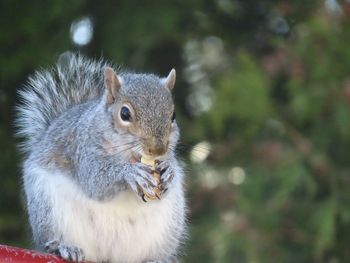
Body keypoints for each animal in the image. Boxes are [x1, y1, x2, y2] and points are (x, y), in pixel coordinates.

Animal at [17, 52, 186, 262]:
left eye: (173, 116)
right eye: (124, 113)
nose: (157, 150)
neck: (126, 154)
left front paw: (169, 170)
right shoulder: (82, 148)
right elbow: (95, 181)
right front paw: (131, 173)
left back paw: (159, 258)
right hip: (47, 208)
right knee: (50, 241)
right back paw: (64, 248)